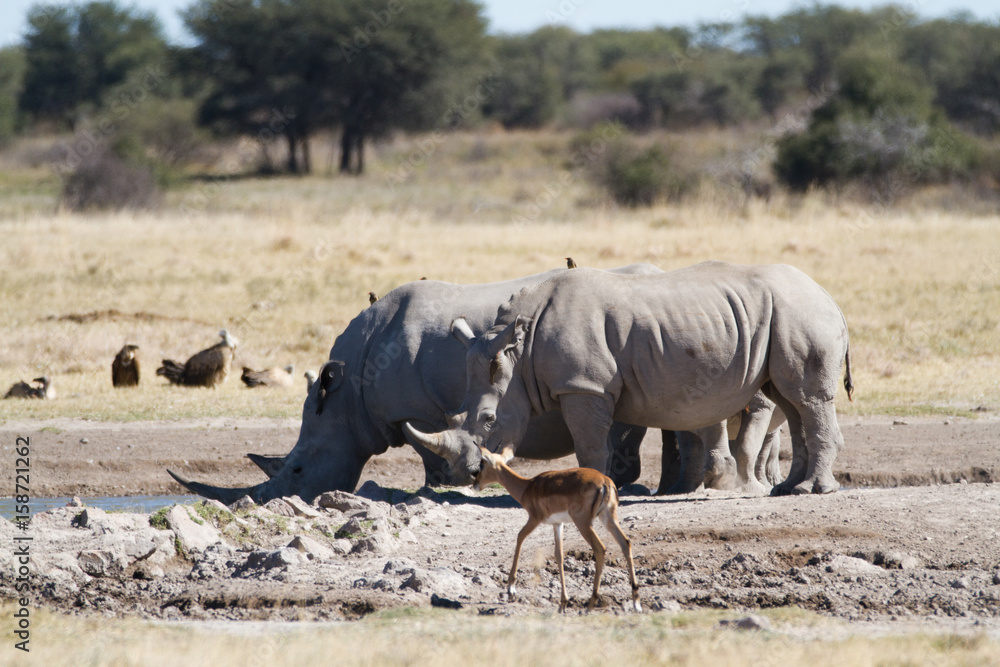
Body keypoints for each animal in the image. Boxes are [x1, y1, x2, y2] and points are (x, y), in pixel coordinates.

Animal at [168, 264, 660, 504]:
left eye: (298, 471)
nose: (261, 503)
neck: (349, 395)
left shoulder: (418, 411)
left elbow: (431, 452)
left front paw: (440, 487)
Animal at [474, 446, 644, 612]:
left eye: (482, 464)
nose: (475, 484)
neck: (527, 487)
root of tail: (605, 482)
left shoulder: (534, 519)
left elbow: (519, 537)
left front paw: (511, 590)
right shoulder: (558, 524)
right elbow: (559, 555)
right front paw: (563, 603)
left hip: (583, 523)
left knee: (600, 548)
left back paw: (591, 604)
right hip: (608, 518)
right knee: (625, 543)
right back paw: (636, 603)